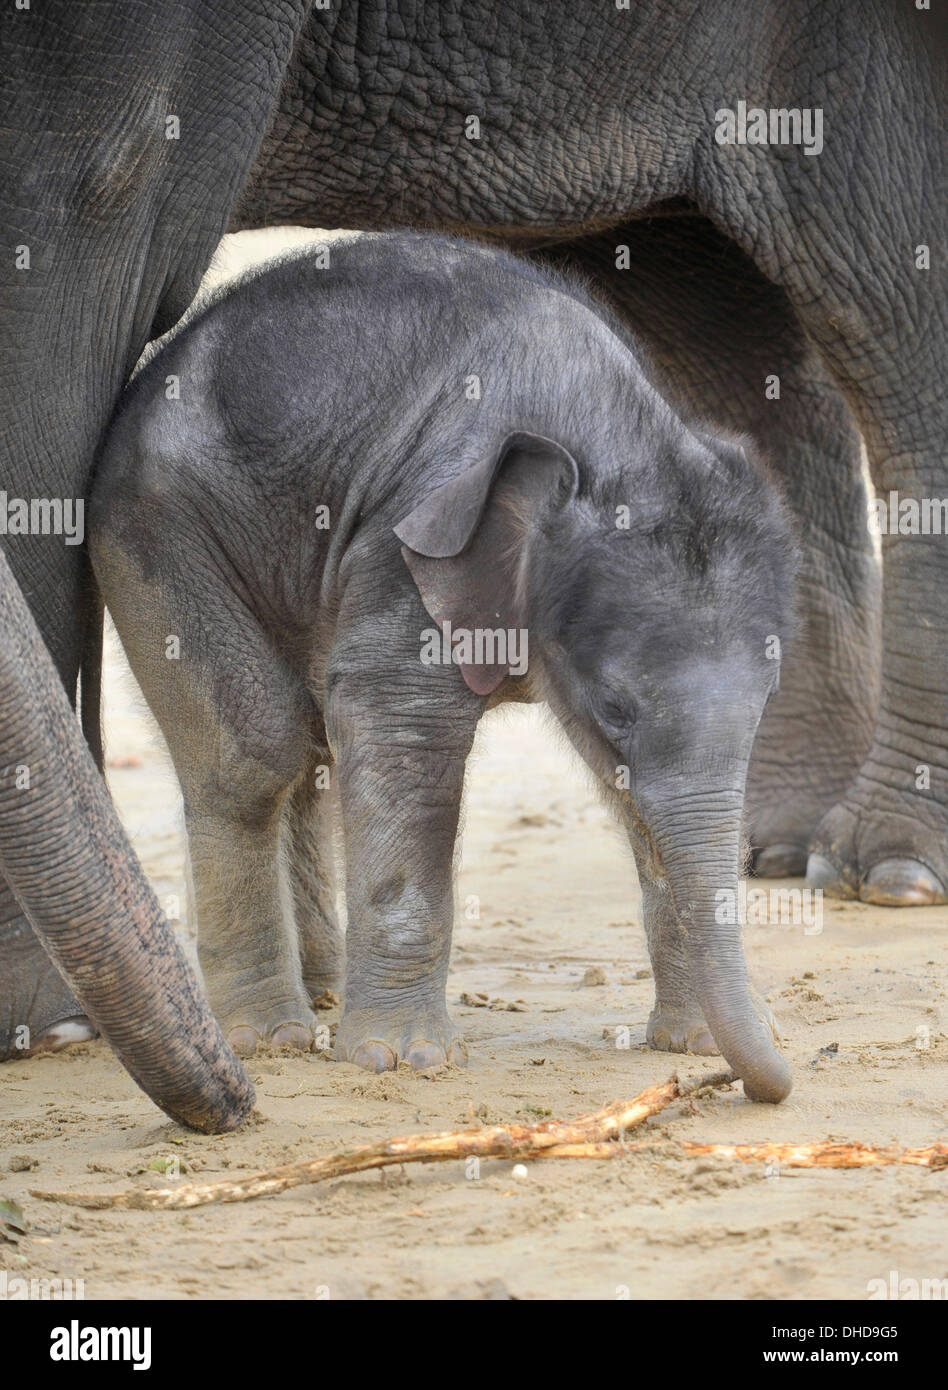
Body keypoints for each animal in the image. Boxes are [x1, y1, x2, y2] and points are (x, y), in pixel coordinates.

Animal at [90, 236, 795, 1106]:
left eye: (769, 696)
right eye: (614, 707)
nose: (767, 1080)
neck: (611, 430)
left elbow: (630, 790)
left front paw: (696, 1043)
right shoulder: (410, 540)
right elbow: (400, 724)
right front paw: (400, 1061)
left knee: (307, 749)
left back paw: (323, 991)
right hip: (153, 528)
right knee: (257, 752)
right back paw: (270, 1036)